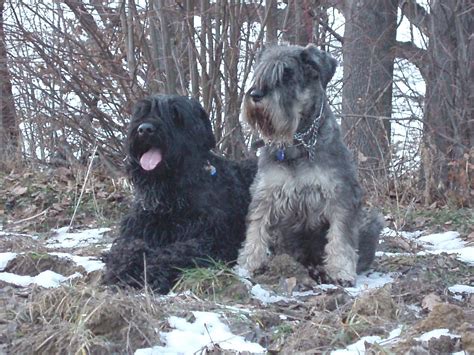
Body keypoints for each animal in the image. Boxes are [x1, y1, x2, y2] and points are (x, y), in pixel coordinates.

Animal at [104, 95, 256, 294]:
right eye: (142, 112)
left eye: (175, 115)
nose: (145, 129)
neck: (170, 196)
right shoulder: (135, 228)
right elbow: (127, 247)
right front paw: (124, 268)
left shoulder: (214, 237)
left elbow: (178, 251)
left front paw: (153, 271)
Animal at [239, 43, 384, 286]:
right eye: (259, 72)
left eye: (287, 74)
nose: (256, 95)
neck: (297, 141)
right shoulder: (265, 192)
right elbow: (256, 228)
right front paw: (249, 263)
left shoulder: (341, 195)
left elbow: (340, 236)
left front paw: (341, 271)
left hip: (371, 219)